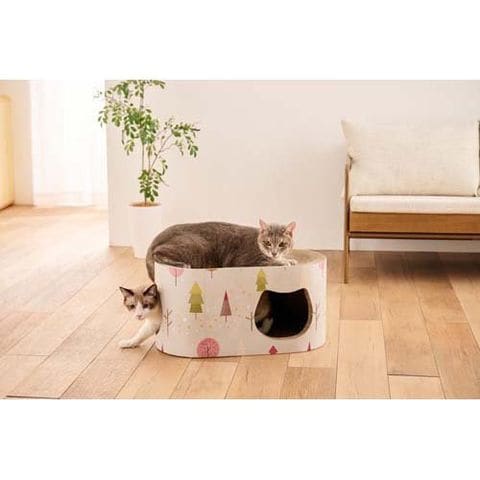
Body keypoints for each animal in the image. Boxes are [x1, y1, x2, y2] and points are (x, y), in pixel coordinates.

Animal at [146, 219, 297, 281]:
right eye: (268, 243)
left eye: (282, 244)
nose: (274, 252)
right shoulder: (245, 261)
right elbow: (269, 262)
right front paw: (285, 262)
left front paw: (288, 259)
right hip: (196, 246)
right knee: (158, 253)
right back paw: (182, 264)